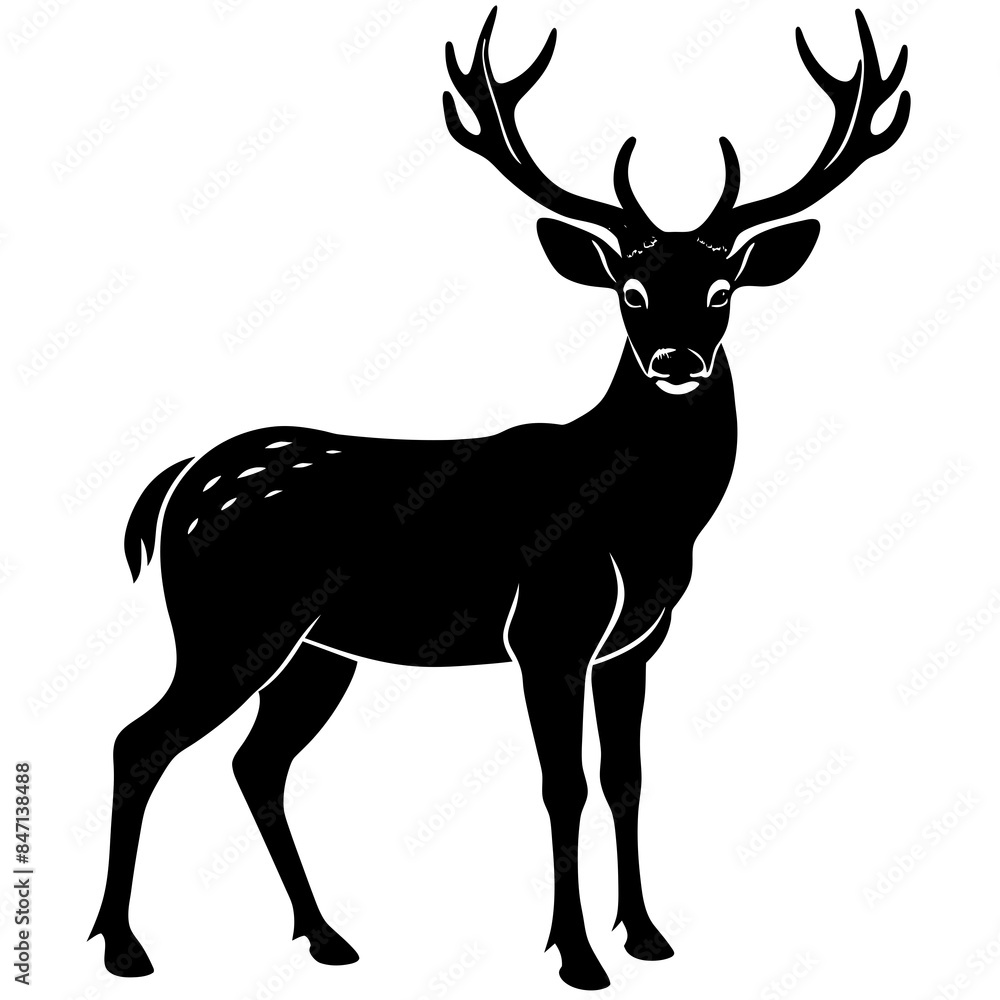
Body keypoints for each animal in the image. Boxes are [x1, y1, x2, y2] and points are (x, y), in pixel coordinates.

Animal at [89, 7, 909, 991]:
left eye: (720, 290)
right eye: (632, 292)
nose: (677, 361)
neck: (643, 524)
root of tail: (173, 486)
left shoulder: (636, 643)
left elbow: (628, 779)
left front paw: (648, 936)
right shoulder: (547, 630)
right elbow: (566, 785)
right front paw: (578, 957)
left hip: (318, 649)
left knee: (256, 763)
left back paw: (326, 936)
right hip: (228, 625)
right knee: (139, 740)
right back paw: (124, 947)